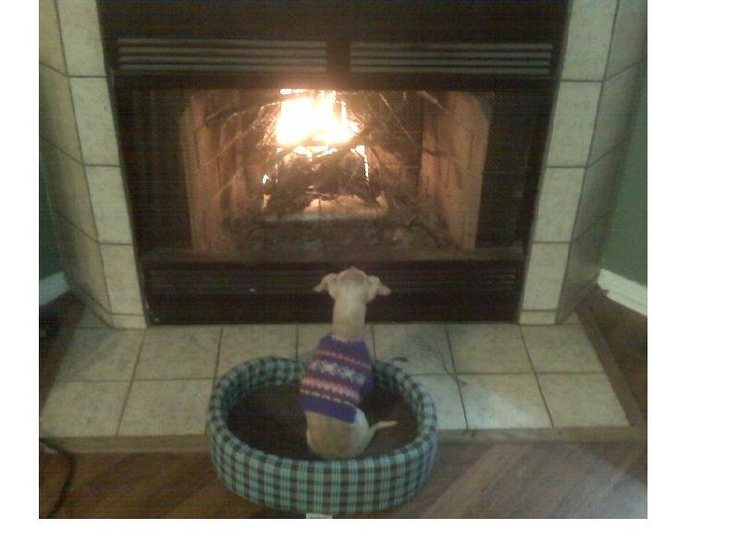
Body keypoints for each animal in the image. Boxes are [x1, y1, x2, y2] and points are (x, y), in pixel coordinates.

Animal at [298, 268, 396, 458]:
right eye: (366, 276)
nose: (353, 266)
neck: (344, 334)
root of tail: (338, 457)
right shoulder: (366, 382)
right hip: (361, 416)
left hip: (307, 434)